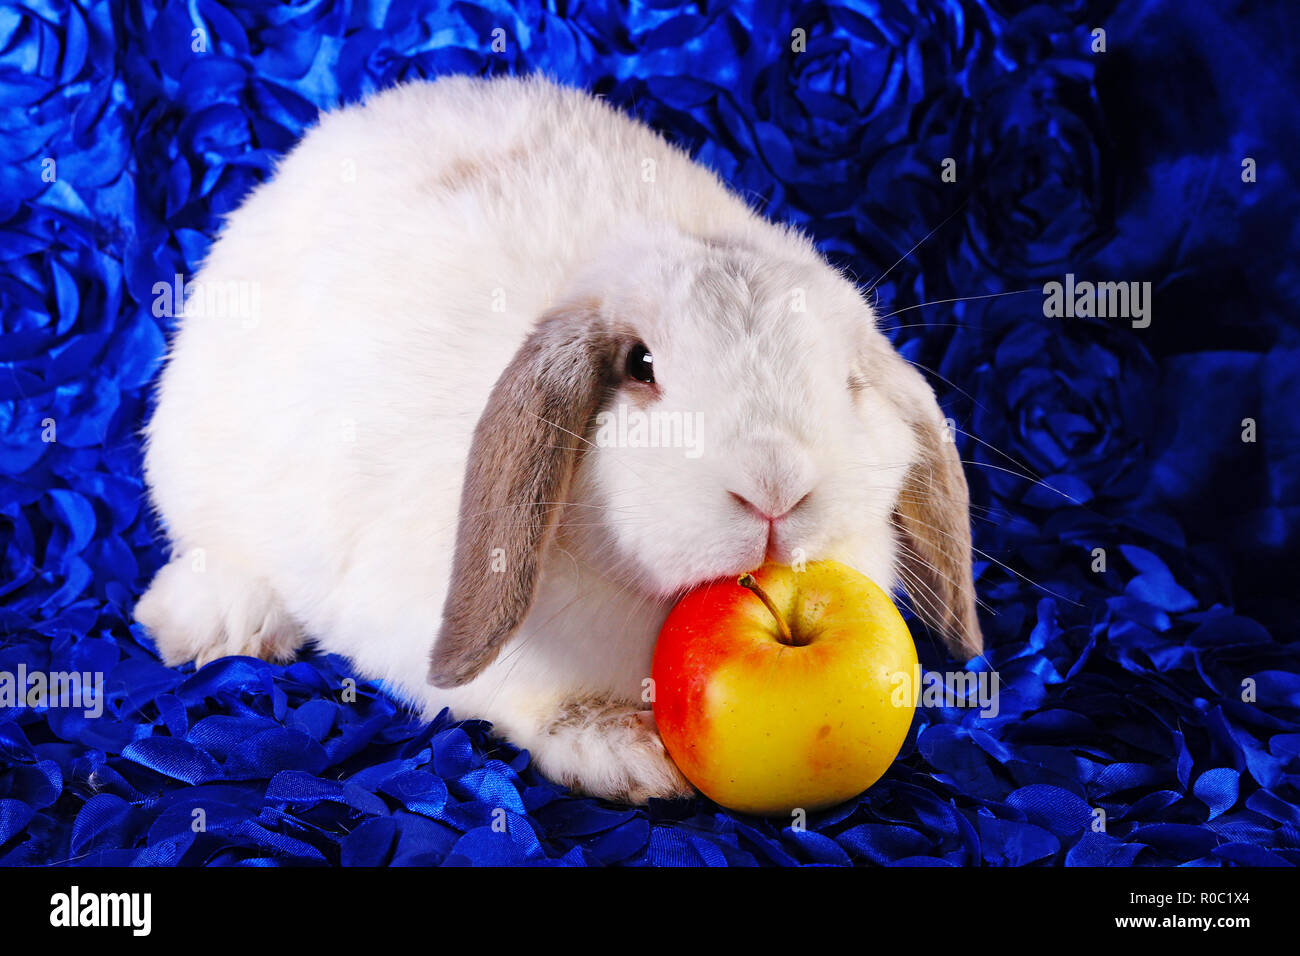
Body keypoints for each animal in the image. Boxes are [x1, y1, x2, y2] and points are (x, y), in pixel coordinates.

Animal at [137, 74, 977, 806]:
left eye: (851, 381)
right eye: (640, 366)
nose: (776, 487)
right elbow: (527, 698)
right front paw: (623, 755)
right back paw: (210, 626)